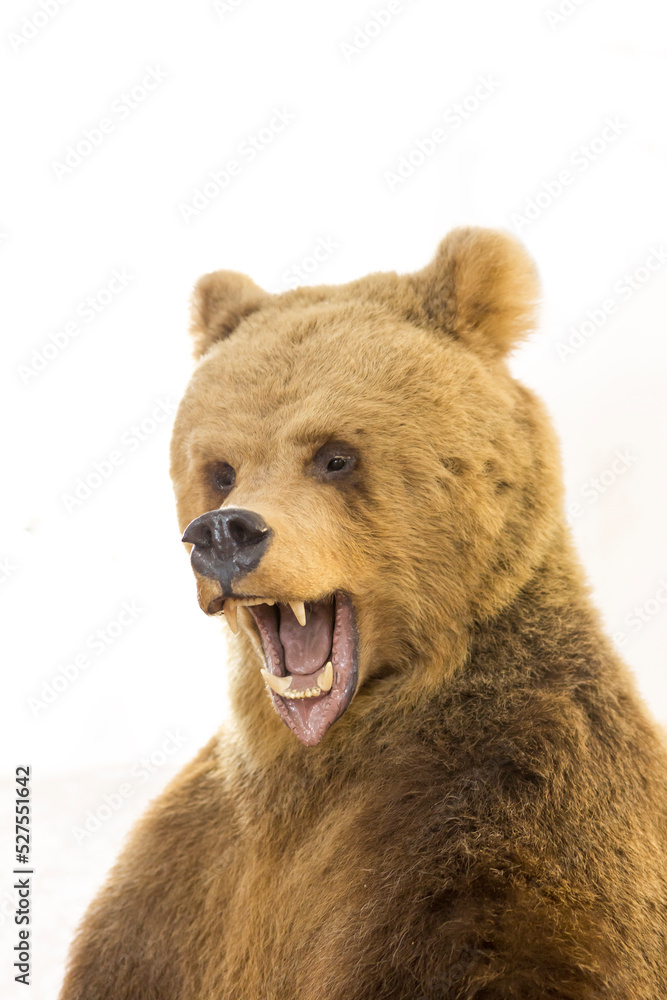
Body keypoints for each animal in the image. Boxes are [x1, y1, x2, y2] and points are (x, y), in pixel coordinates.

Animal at [60, 227, 667, 999]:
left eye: (335, 456)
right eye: (221, 468)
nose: (224, 533)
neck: (317, 757)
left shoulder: (515, 819)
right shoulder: (185, 886)